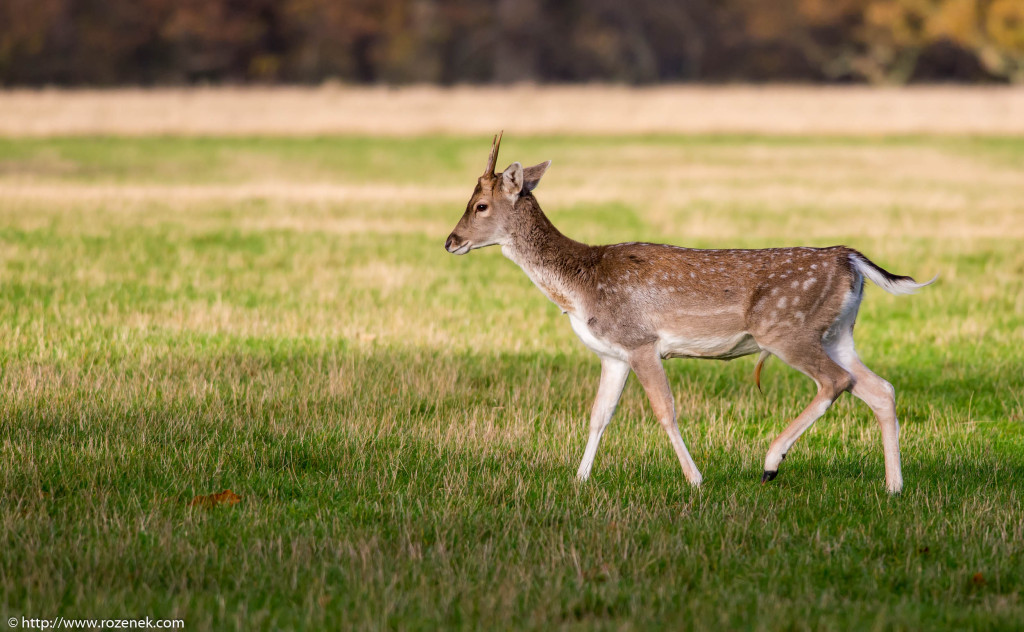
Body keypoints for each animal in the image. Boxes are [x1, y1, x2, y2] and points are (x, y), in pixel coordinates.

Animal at [444, 133, 933, 493]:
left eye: (480, 205)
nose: (451, 241)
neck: (579, 288)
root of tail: (848, 259)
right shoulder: (612, 353)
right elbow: (599, 414)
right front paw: (579, 479)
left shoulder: (641, 341)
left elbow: (665, 410)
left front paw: (695, 479)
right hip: (837, 333)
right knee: (880, 388)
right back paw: (894, 486)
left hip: (785, 329)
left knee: (837, 381)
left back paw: (771, 463)